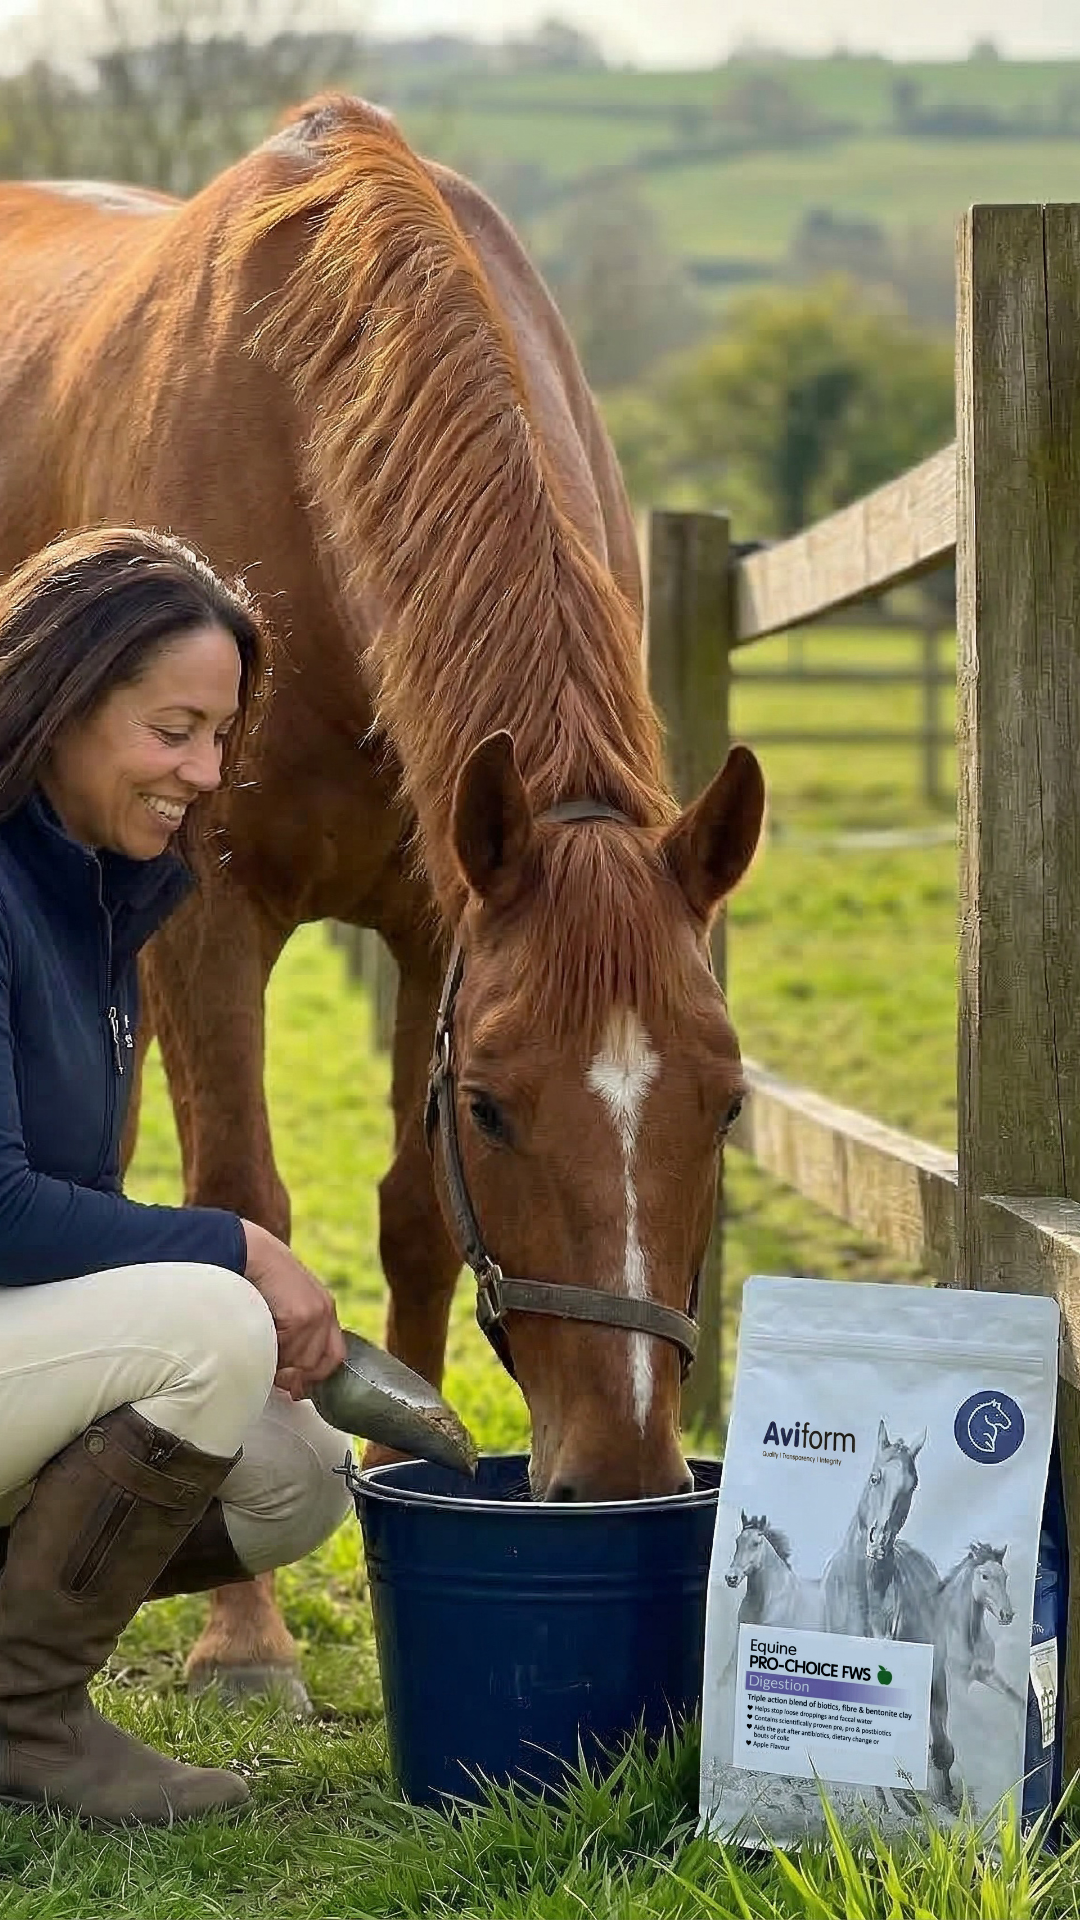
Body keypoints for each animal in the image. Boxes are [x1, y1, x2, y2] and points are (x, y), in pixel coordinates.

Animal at [0, 95, 765, 1704]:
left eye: (725, 1104)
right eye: (493, 1104)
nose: (619, 1482)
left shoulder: (436, 922)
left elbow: (414, 1221)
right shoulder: (209, 918)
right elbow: (243, 1210)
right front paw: (244, 1639)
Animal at [936, 1543, 1024, 1707]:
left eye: (1005, 1576)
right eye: (985, 1576)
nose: (1007, 1615)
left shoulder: (988, 1673)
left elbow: (1019, 1701)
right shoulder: (957, 1685)